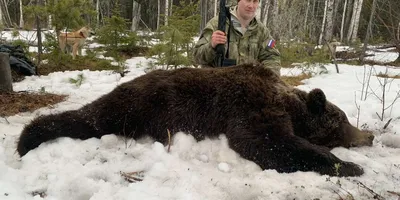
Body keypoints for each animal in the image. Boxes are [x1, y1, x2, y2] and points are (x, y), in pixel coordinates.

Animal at [17, 63, 374, 176]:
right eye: (342, 119)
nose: (368, 135)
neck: (289, 102)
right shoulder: (252, 106)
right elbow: (267, 141)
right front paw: (348, 165)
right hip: (138, 105)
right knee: (91, 118)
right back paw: (29, 137)